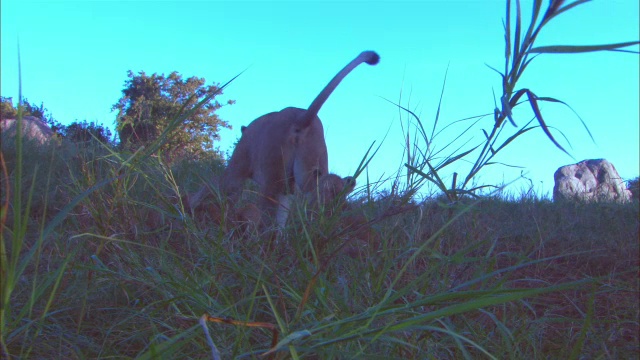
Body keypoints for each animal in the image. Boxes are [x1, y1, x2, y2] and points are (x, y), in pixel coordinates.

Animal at [221, 50, 378, 225]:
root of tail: (301, 116)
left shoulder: (238, 166)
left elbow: (226, 193)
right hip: (310, 170)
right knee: (319, 191)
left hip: (272, 178)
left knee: (267, 215)